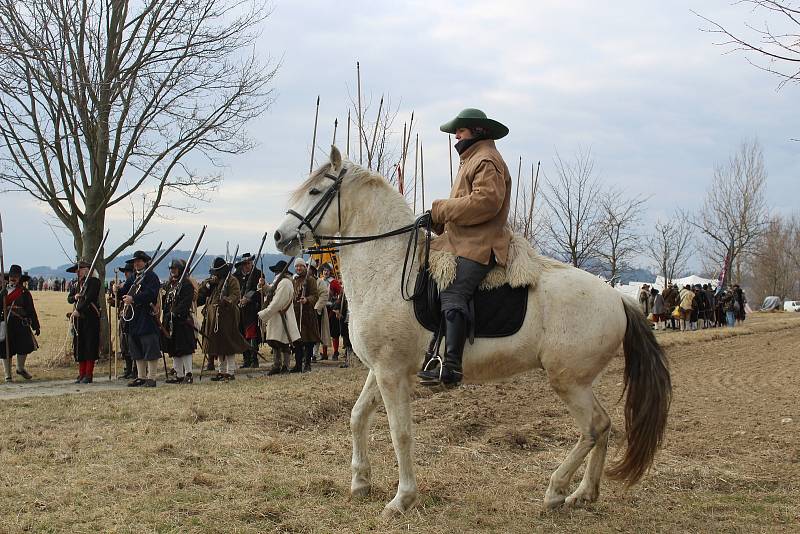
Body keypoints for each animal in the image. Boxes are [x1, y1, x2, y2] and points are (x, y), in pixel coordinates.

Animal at [272, 149, 672, 516]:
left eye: (315, 191)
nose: (279, 236)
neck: (386, 269)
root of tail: (619, 298)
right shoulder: (381, 370)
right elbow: (357, 417)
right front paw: (359, 484)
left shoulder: (391, 373)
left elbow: (401, 433)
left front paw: (402, 499)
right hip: (580, 382)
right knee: (604, 428)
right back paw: (584, 493)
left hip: (569, 382)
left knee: (594, 427)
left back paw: (556, 490)